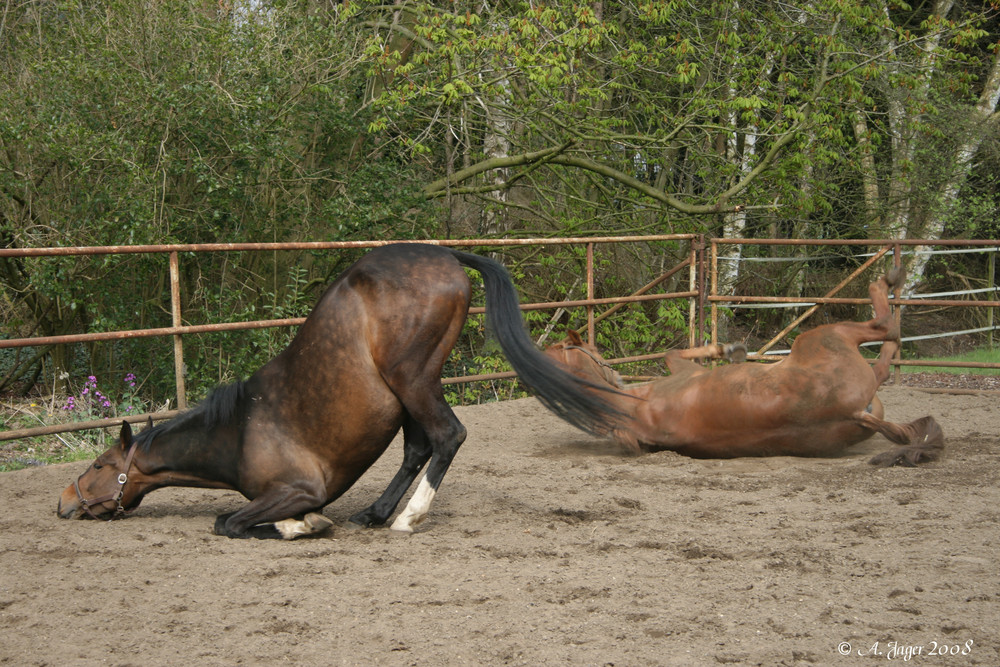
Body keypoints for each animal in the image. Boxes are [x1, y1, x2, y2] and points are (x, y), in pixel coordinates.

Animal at [58, 244, 620, 536]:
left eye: (98, 466)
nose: (64, 500)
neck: (239, 430)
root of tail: (443, 253)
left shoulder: (295, 489)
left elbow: (227, 522)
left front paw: (301, 527)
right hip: (414, 387)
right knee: (418, 447)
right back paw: (375, 513)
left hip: (412, 379)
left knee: (447, 437)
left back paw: (407, 517)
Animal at [544, 268, 940, 468]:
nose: (613, 372)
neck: (632, 407)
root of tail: (854, 412)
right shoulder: (685, 372)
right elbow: (673, 352)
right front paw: (730, 348)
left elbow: (671, 350)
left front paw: (728, 349)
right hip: (825, 337)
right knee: (885, 331)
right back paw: (890, 279)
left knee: (886, 351)